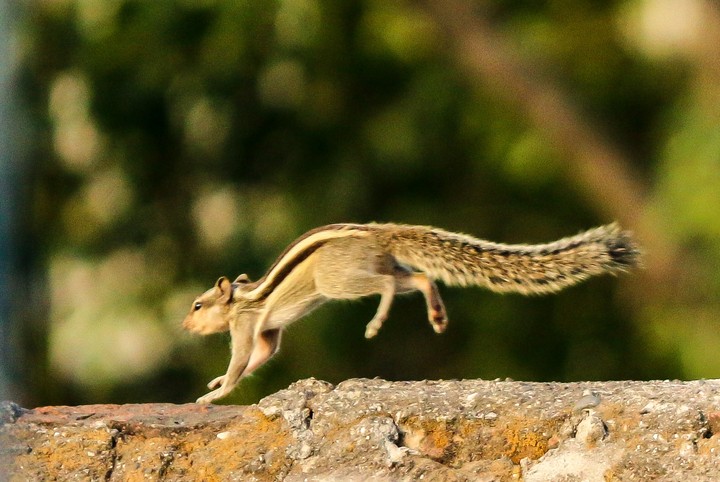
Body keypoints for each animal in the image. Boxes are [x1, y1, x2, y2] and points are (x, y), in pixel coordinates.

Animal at [183, 222, 640, 403]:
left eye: (197, 305)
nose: (185, 325)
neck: (240, 298)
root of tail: (381, 233)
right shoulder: (267, 334)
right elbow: (261, 356)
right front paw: (217, 383)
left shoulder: (245, 327)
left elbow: (243, 360)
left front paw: (216, 392)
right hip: (379, 267)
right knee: (419, 278)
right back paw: (436, 315)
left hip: (336, 281)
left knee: (388, 286)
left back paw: (376, 323)